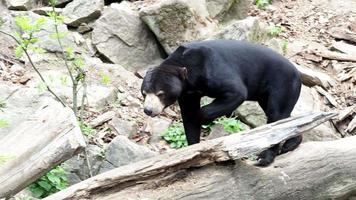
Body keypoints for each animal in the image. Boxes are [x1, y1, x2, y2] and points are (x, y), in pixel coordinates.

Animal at [140, 39, 302, 166]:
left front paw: (203, 118)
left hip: (282, 83)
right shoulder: (187, 94)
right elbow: (188, 115)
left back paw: (264, 157)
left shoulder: (212, 70)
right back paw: (292, 142)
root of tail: (297, 73)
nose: (148, 110)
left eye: (160, 94)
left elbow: (236, 91)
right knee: (281, 115)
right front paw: (193, 150)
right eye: (144, 93)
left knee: (276, 115)